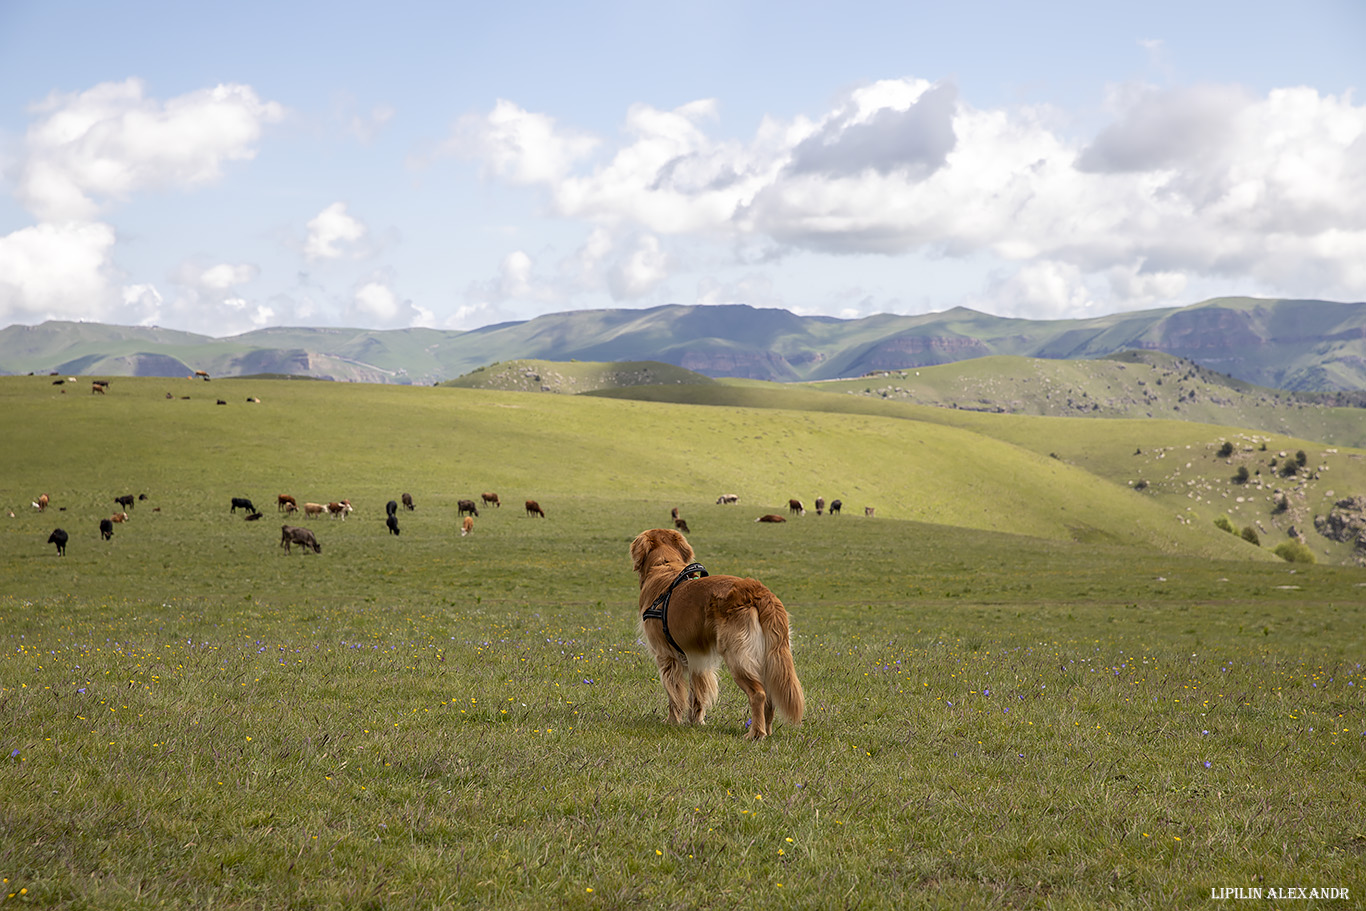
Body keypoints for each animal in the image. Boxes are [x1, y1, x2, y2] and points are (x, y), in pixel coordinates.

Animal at [631, 527, 803, 743]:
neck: (664, 564)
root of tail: (757, 591)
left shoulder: (666, 656)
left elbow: (674, 694)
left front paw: (672, 721)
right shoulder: (696, 656)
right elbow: (697, 693)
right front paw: (696, 722)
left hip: (737, 656)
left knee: (758, 694)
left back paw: (756, 733)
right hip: (770, 656)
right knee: (770, 697)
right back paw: (767, 730)